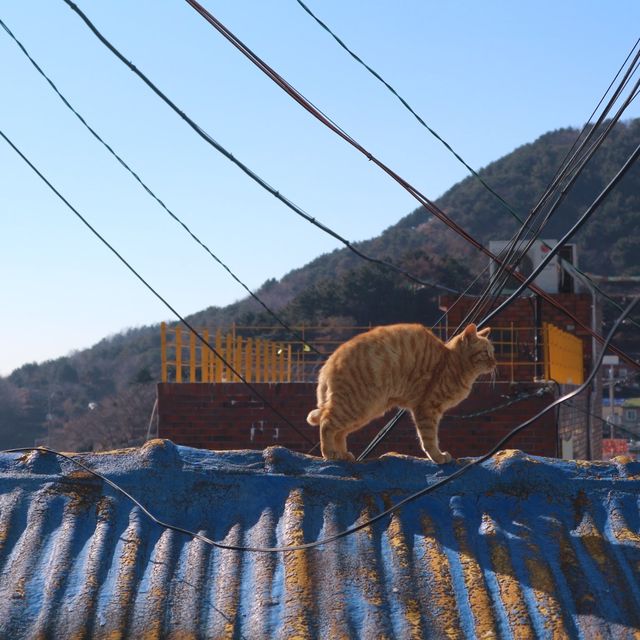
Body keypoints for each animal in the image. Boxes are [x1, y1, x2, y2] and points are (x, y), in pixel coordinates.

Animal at [308, 322, 498, 462]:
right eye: (485, 352)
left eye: (493, 352)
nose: (495, 363)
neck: (451, 362)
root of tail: (329, 361)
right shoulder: (427, 408)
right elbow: (429, 438)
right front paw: (437, 456)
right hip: (356, 405)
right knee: (326, 423)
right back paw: (329, 453)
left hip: (365, 411)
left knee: (339, 432)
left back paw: (343, 454)